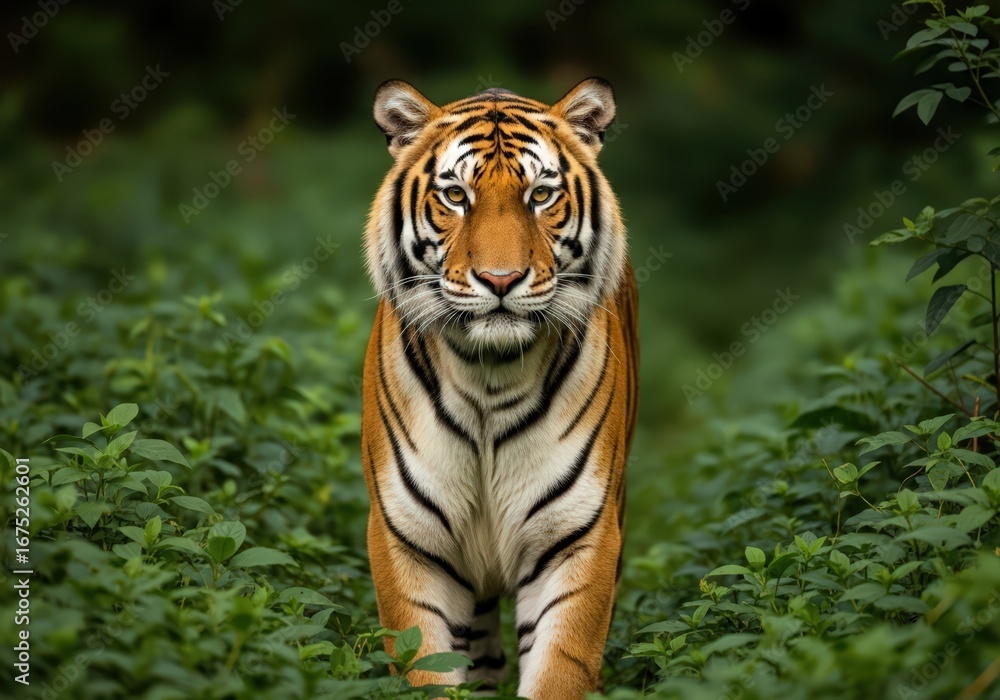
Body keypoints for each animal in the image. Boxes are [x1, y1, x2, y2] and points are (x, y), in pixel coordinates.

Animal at [360, 77, 638, 699]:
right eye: (455, 196)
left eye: (541, 195)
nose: (501, 280)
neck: (489, 374)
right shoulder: (407, 541)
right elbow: (426, 669)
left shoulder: (579, 538)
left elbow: (560, 669)